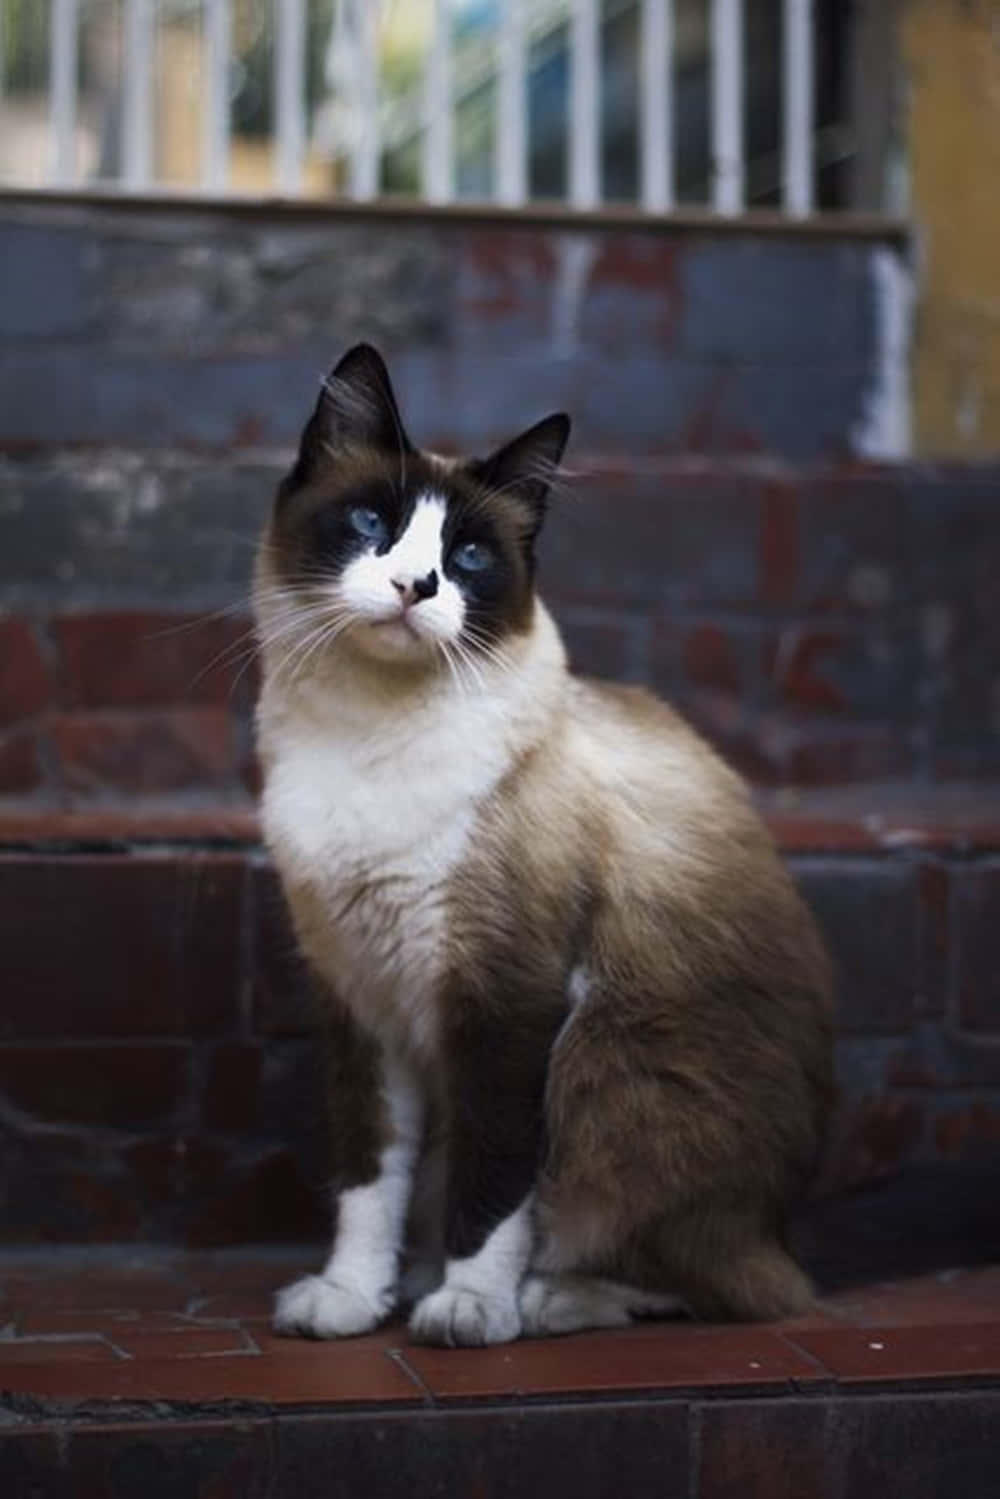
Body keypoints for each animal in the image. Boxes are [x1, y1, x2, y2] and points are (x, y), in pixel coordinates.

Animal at [254, 343, 833, 1349]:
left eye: (468, 558)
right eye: (372, 523)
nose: (415, 587)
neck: (364, 733)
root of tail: (783, 1223)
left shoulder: (505, 1004)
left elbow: (493, 1183)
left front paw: (469, 1309)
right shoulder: (361, 998)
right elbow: (369, 1175)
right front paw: (350, 1299)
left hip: (606, 1065)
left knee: (732, 1287)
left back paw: (542, 1299)